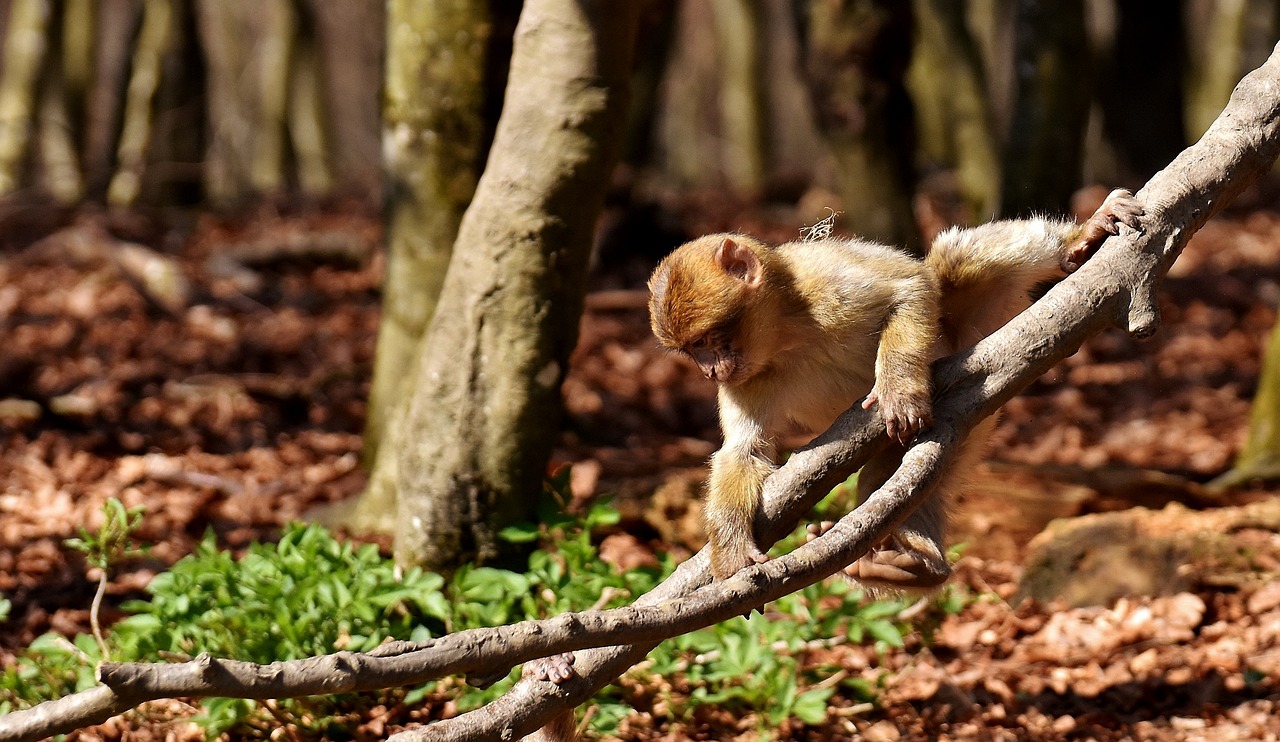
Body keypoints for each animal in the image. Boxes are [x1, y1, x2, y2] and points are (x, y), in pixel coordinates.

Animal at [650, 189, 1141, 585]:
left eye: (706, 341)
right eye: (691, 350)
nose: (710, 372)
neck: (787, 336)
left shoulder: (824, 280)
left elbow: (910, 286)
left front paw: (899, 389)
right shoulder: (747, 380)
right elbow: (744, 451)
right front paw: (732, 551)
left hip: (976, 326)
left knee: (953, 262)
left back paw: (1079, 238)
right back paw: (904, 566)